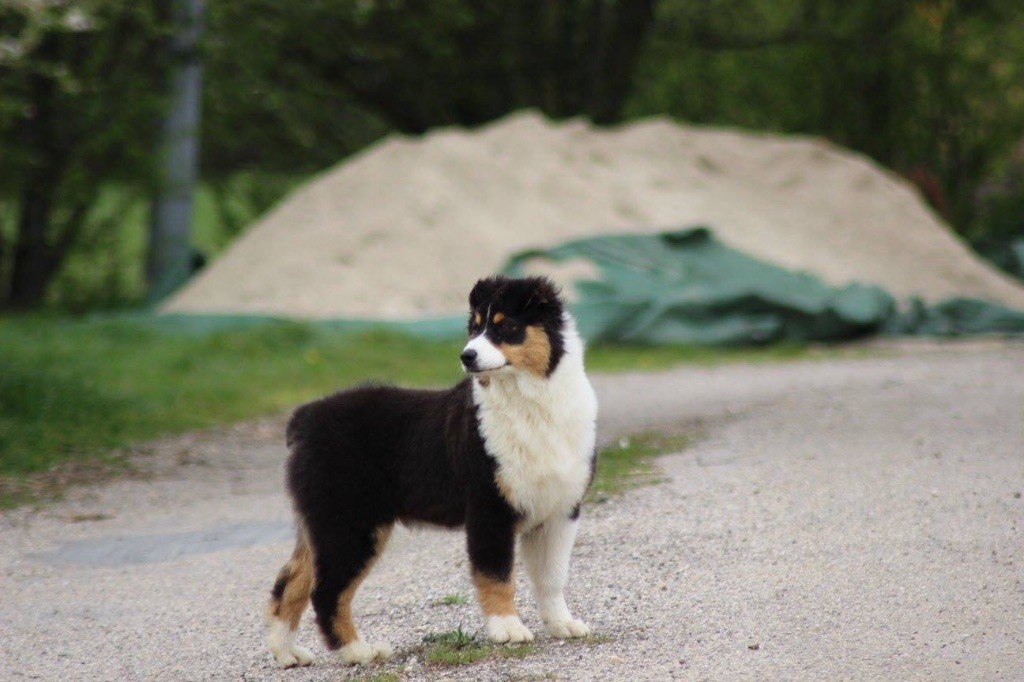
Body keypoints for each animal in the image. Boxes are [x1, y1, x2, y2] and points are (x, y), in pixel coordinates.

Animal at [266, 272, 598, 663]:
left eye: (506, 327)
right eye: (475, 327)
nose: (467, 355)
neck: (528, 403)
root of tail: (304, 419)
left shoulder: (561, 510)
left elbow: (552, 577)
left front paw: (563, 625)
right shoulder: (489, 508)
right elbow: (496, 574)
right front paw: (508, 630)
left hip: (323, 524)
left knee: (291, 581)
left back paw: (288, 654)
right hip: (351, 523)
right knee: (327, 591)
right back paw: (359, 651)